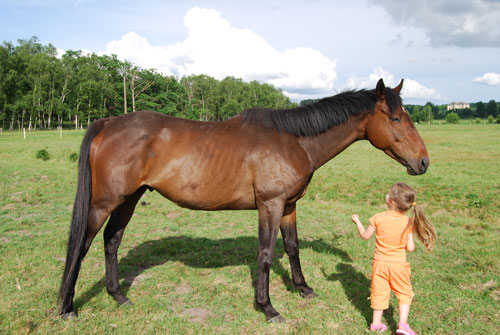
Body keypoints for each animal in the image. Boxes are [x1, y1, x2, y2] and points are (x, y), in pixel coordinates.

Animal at [57, 79, 426, 322]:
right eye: (395, 118)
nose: (423, 162)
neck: (293, 140)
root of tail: (107, 123)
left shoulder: (289, 206)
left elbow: (292, 247)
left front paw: (303, 288)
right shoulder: (270, 205)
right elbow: (265, 253)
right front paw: (268, 307)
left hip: (129, 199)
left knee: (111, 240)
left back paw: (118, 296)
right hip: (104, 203)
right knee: (81, 247)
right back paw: (67, 307)